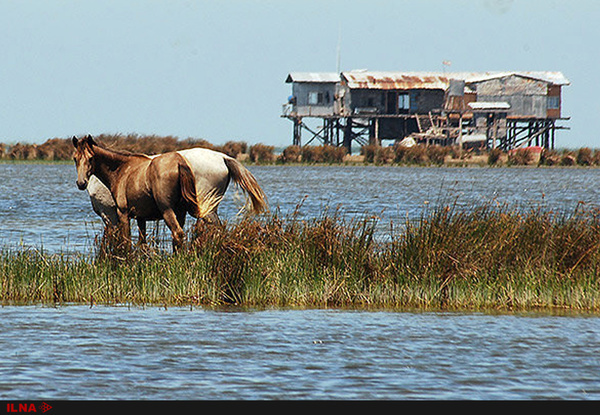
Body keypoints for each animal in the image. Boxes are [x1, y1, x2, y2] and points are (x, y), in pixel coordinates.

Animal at [72, 136, 223, 250]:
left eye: (91, 158)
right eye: (75, 158)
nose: (81, 183)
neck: (121, 170)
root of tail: (180, 163)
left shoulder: (123, 213)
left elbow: (127, 242)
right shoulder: (141, 217)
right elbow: (142, 244)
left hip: (168, 210)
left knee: (178, 233)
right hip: (181, 212)